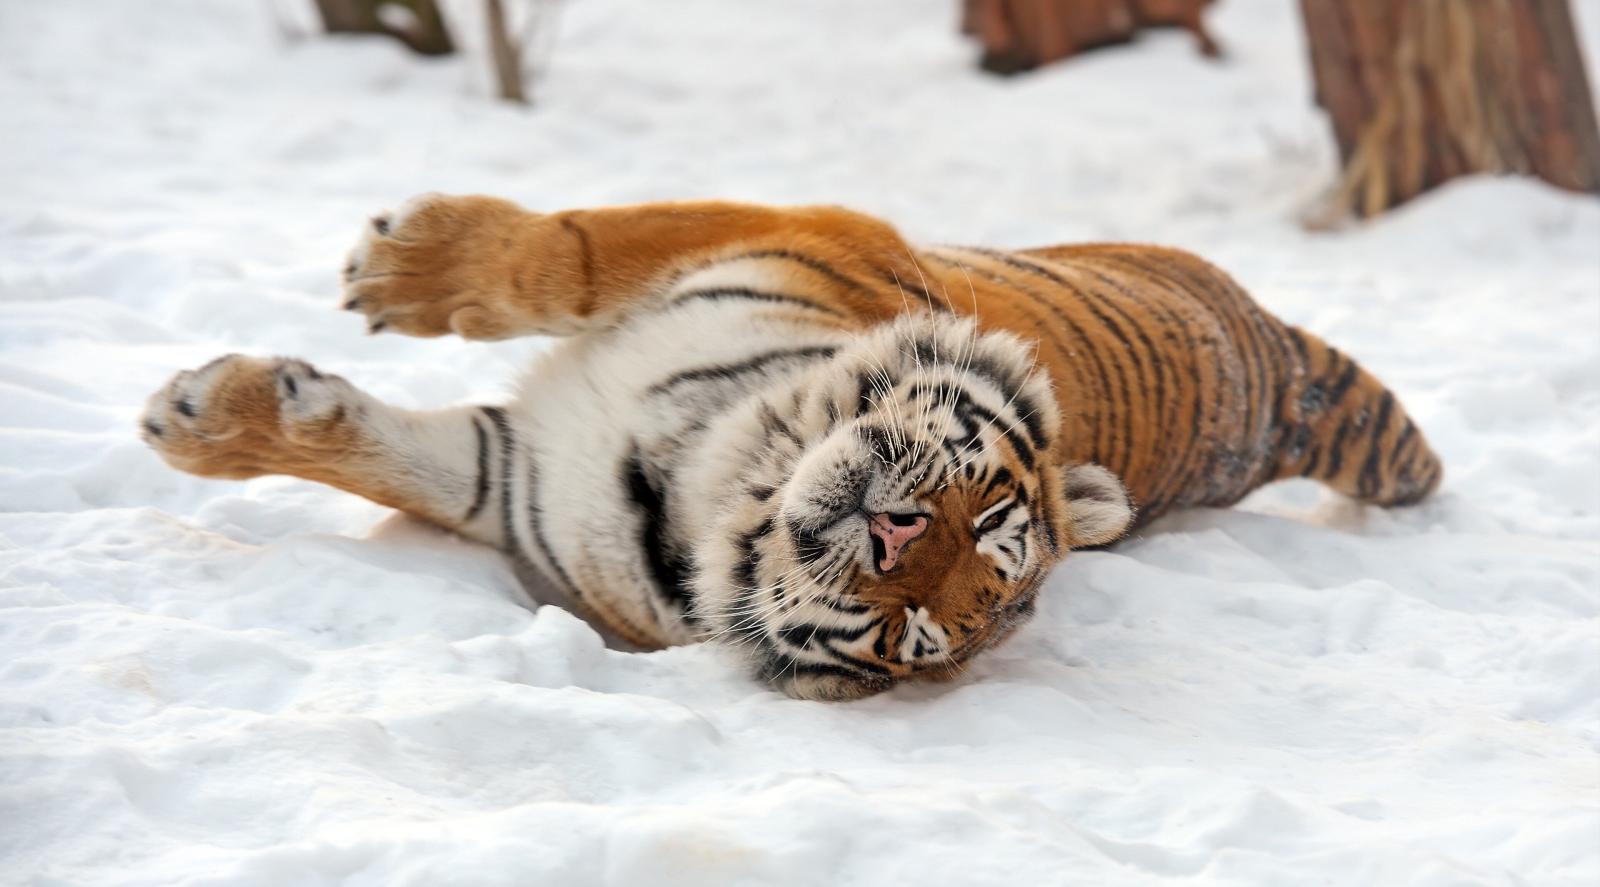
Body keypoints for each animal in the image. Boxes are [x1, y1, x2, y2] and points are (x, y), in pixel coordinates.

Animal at [139, 195, 1442, 700]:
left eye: (915, 629)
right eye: (987, 515)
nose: (891, 535)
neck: (705, 474)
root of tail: (1273, 360)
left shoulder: (510, 482)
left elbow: (396, 456)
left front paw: (198, 413)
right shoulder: (778, 228)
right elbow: (562, 256)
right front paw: (398, 266)